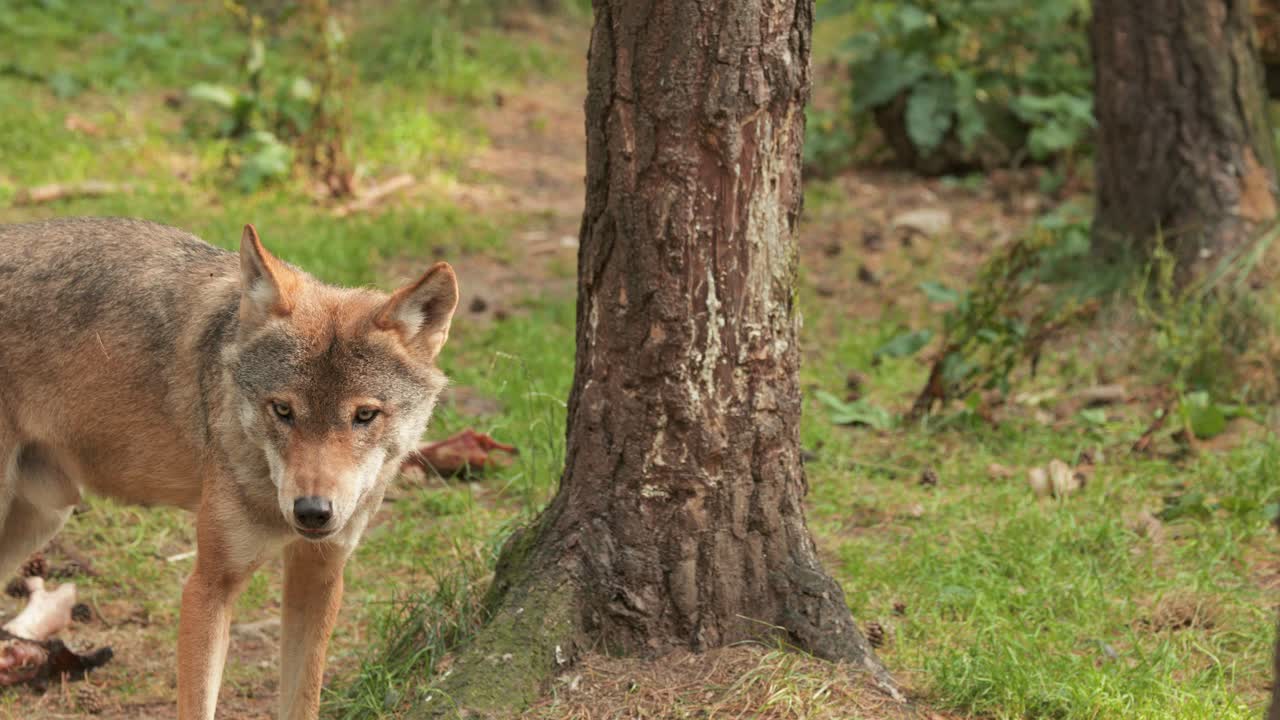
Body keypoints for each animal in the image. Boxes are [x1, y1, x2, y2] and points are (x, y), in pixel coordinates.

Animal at [0, 217, 458, 719]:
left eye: (364, 415)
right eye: (282, 410)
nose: (312, 512)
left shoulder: (319, 576)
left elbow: (303, 701)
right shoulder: (209, 585)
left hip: (38, 520)